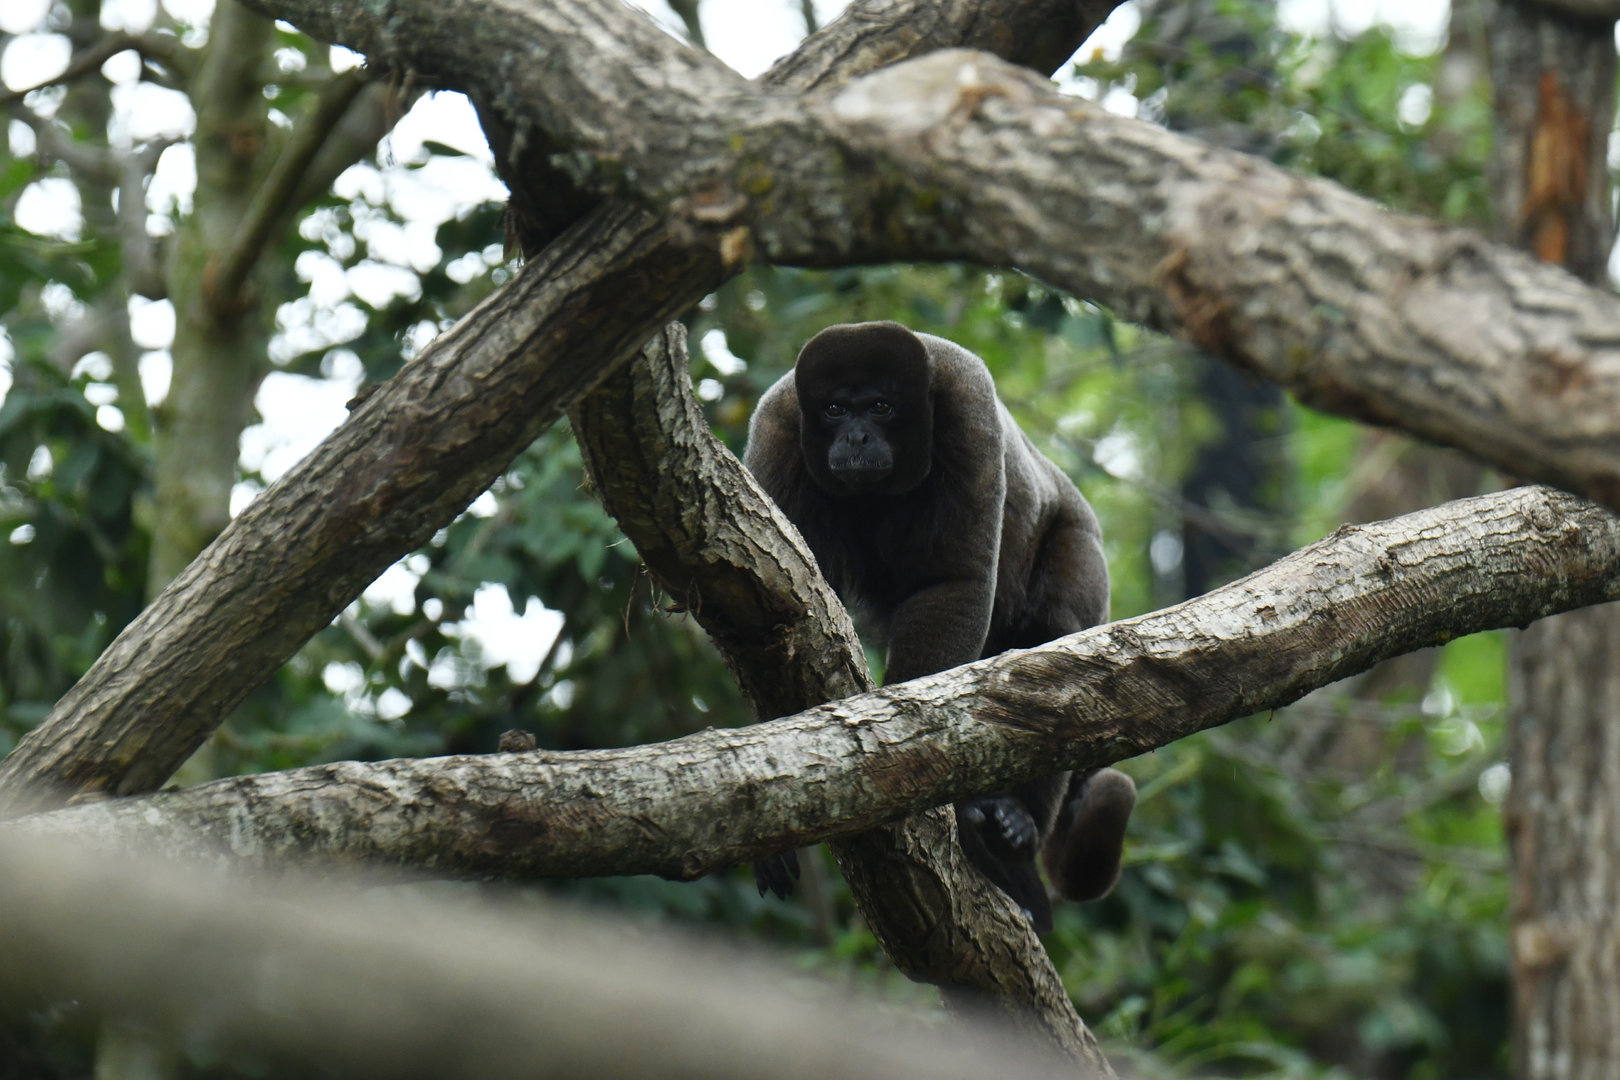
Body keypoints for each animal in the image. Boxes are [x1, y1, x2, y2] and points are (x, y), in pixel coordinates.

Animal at [743, 320, 1135, 932]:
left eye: (881, 406)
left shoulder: (967, 403)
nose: (857, 437)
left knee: (1057, 643)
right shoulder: (777, 428)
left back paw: (1016, 826)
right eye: (834, 409)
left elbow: (955, 583)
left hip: (1080, 538)